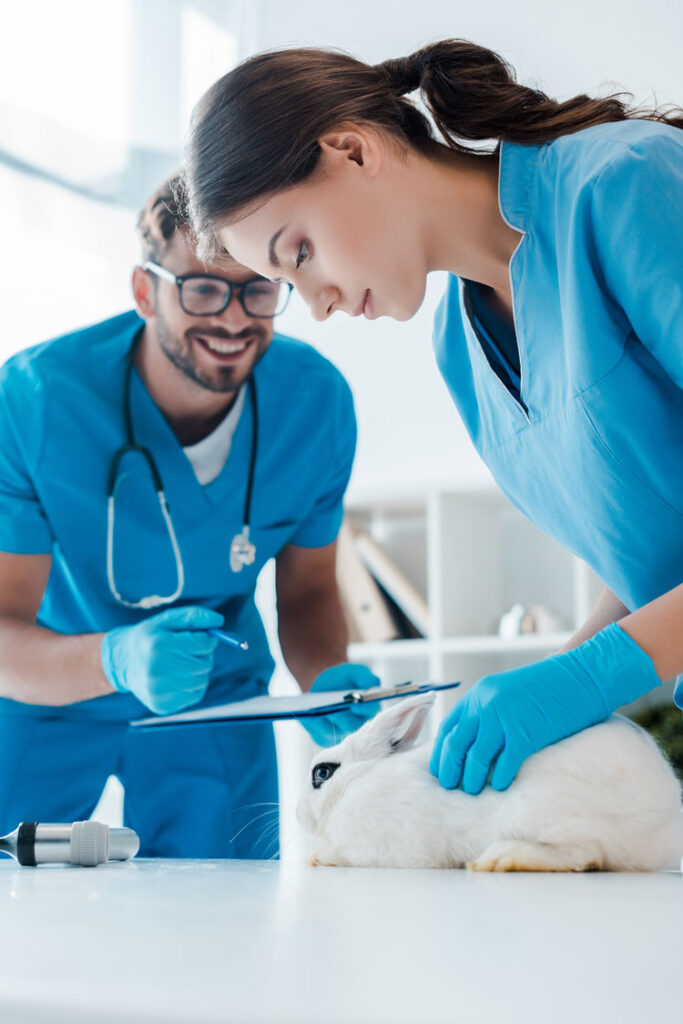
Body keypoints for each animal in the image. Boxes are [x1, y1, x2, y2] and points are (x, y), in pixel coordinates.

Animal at [296, 688, 683, 872]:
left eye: (322, 773)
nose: (298, 816)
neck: (356, 783)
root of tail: (665, 823)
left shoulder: (388, 845)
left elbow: (349, 854)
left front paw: (318, 856)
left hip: (541, 814)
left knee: (585, 854)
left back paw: (499, 860)